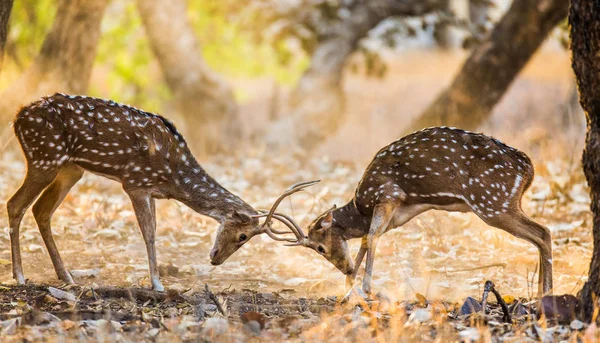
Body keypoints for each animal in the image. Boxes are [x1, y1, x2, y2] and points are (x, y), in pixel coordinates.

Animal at [9, 93, 310, 290]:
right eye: (243, 236)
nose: (216, 259)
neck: (174, 177)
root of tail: (17, 118)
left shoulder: (152, 191)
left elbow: (154, 230)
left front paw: (157, 280)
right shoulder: (135, 182)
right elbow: (149, 234)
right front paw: (157, 284)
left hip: (70, 168)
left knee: (41, 210)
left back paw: (67, 276)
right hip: (45, 157)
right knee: (15, 204)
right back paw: (20, 276)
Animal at [264, 127, 556, 298]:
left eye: (320, 248)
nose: (344, 268)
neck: (361, 206)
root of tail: (528, 169)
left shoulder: (388, 195)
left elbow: (371, 237)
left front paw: (365, 290)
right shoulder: (398, 213)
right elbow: (368, 238)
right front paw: (350, 286)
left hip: (492, 202)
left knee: (543, 231)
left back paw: (545, 295)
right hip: (504, 202)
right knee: (541, 234)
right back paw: (540, 294)